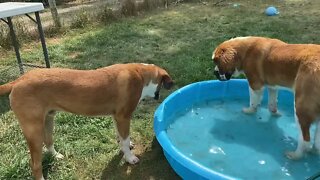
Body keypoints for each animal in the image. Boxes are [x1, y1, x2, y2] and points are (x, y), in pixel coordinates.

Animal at [0, 63, 172, 180]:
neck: (141, 74)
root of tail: (18, 80)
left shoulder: (117, 117)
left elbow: (120, 137)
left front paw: (125, 147)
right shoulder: (124, 117)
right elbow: (124, 138)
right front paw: (129, 157)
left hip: (48, 120)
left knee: (48, 142)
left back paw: (56, 155)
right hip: (34, 130)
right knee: (35, 164)